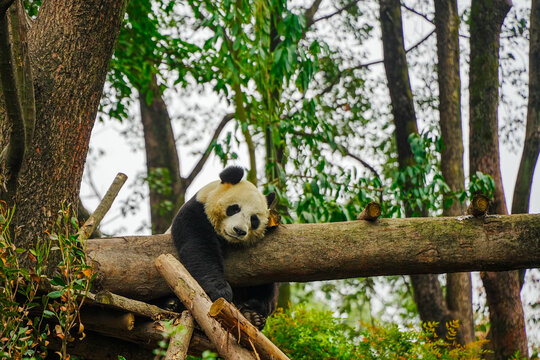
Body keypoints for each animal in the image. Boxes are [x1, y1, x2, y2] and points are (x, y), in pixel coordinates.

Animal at [170, 166, 278, 330]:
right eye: (234, 208)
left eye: (254, 219)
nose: (239, 230)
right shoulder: (195, 212)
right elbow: (199, 247)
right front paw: (220, 291)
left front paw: (257, 307)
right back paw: (171, 304)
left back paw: (253, 317)